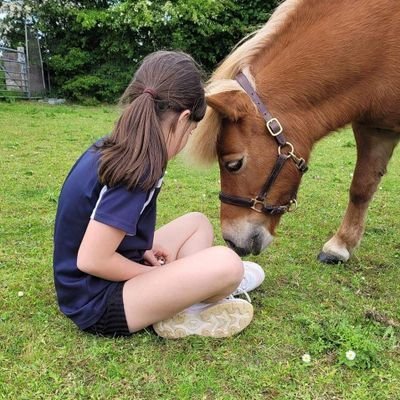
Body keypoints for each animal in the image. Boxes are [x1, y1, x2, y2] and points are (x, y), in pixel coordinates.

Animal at [188, 0, 400, 262]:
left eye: (234, 164)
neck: (380, 46)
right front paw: (340, 245)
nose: (232, 242)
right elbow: (361, 187)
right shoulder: (375, 128)